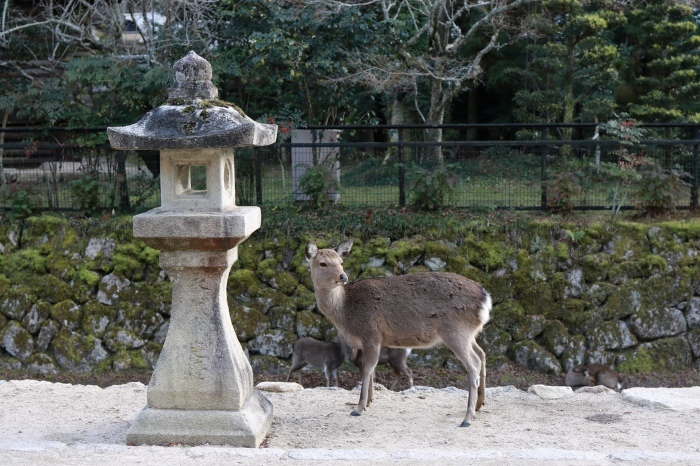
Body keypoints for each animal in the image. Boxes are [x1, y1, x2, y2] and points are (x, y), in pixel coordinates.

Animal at [306, 240, 492, 426]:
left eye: (341, 261)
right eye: (323, 263)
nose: (343, 276)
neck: (345, 312)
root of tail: (486, 298)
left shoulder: (371, 334)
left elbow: (367, 369)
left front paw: (358, 408)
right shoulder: (371, 340)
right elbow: (371, 371)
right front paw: (369, 402)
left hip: (455, 331)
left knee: (474, 363)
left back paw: (467, 418)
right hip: (469, 332)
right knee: (482, 354)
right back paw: (479, 404)